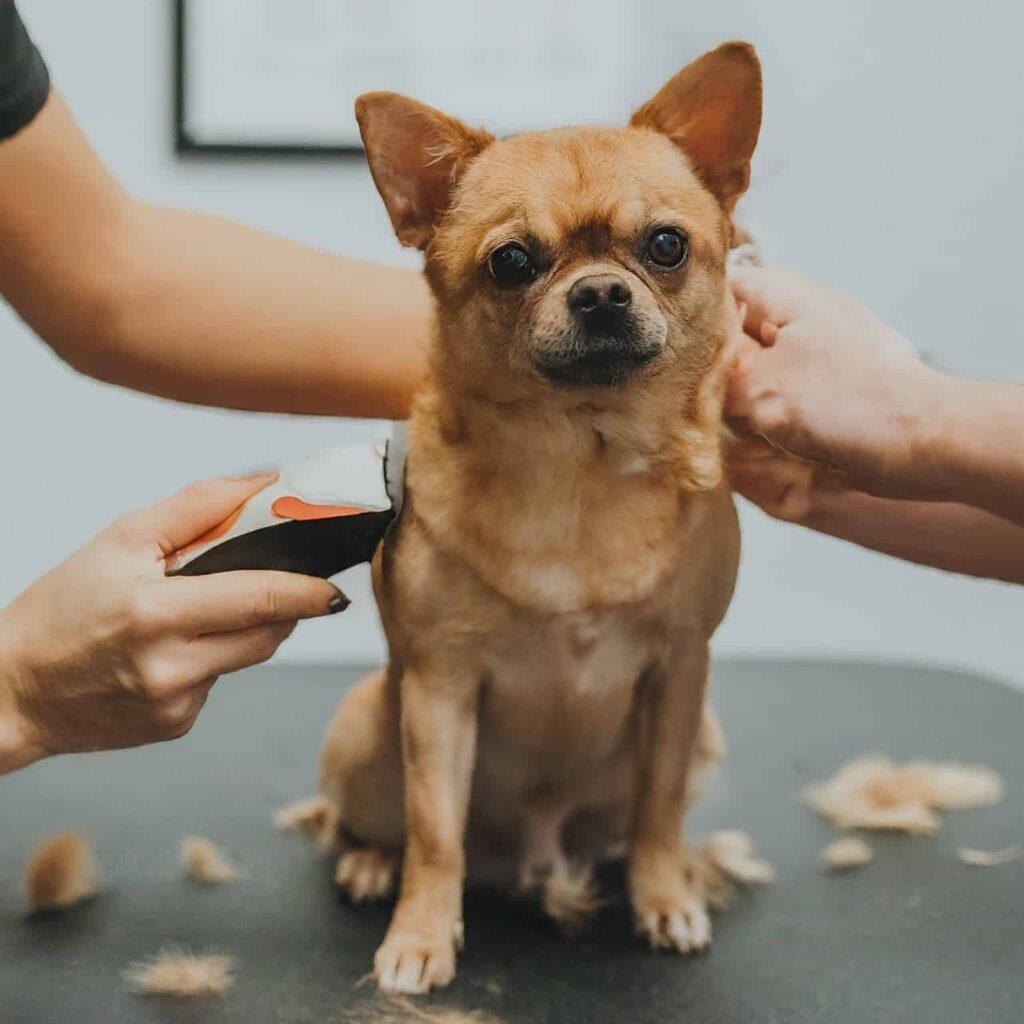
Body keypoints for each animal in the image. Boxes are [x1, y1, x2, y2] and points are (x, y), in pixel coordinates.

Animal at [319, 41, 761, 991]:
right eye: (513, 262)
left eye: (666, 246)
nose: (599, 294)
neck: (580, 465)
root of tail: (535, 849)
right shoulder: (440, 689)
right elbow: (435, 834)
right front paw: (420, 938)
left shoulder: (679, 672)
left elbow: (659, 809)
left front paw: (663, 896)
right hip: (371, 730)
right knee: (382, 822)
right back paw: (371, 862)